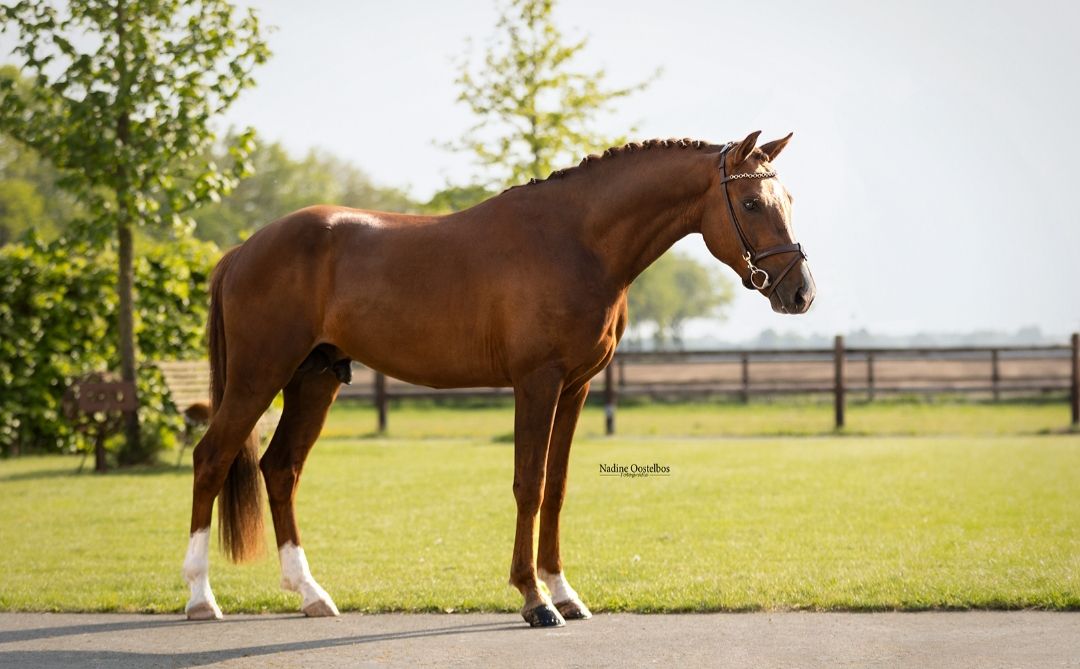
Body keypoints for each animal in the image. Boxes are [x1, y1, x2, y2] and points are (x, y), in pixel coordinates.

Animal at [181, 130, 816, 627]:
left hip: (314, 380)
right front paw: (535, 600)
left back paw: (310, 594)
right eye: (752, 202)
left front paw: (564, 592)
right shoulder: (537, 382)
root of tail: (243, 249)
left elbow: (556, 487)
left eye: (788, 198)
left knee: (280, 468)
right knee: (211, 458)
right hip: (257, 376)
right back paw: (201, 599)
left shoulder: (577, 387)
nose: (800, 293)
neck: (577, 239)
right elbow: (528, 485)